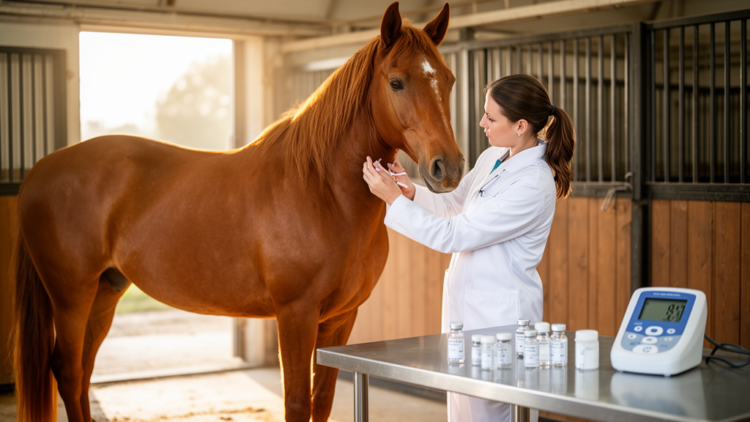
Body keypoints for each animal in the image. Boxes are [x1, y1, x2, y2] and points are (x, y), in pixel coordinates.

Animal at [13, 2, 463, 421]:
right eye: (396, 82)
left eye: (448, 79)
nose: (450, 167)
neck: (322, 191)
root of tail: (40, 170)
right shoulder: (295, 314)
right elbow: (297, 401)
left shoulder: (339, 318)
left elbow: (322, 399)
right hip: (71, 295)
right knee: (68, 370)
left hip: (105, 290)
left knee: (82, 373)